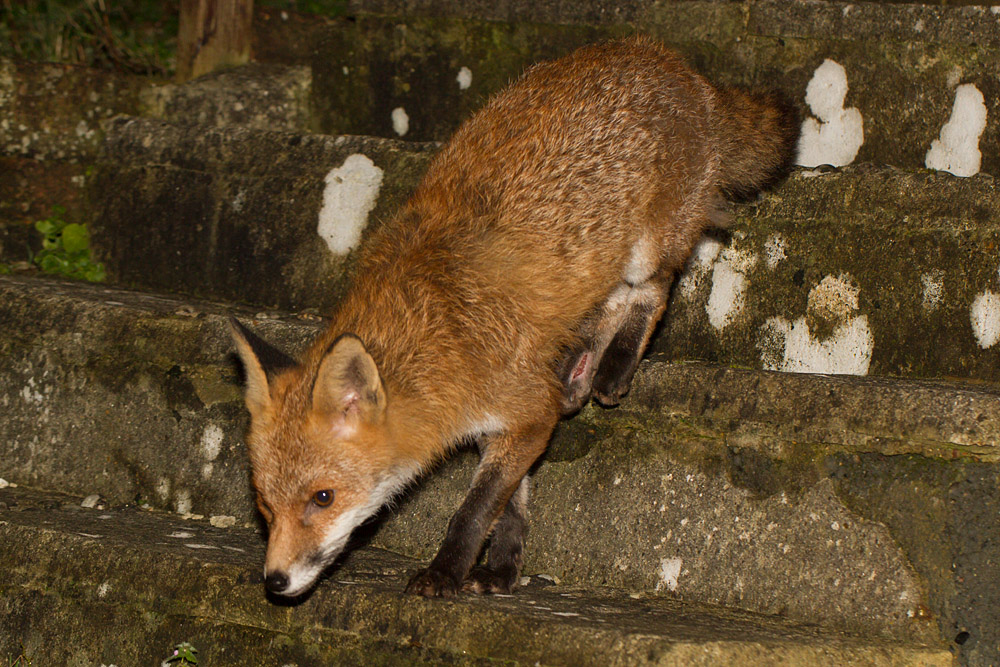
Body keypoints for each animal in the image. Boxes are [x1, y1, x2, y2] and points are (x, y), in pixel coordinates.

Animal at [230, 35, 797, 599]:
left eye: (322, 497)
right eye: (264, 503)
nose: (275, 581)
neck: (438, 335)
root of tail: (670, 60)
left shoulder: (523, 410)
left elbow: (476, 509)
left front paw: (446, 573)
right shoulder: (510, 419)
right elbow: (511, 503)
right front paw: (503, 566)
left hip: (649, 248)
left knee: (652, 290)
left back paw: (613, 366)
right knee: (605, 303)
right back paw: (576, 369)